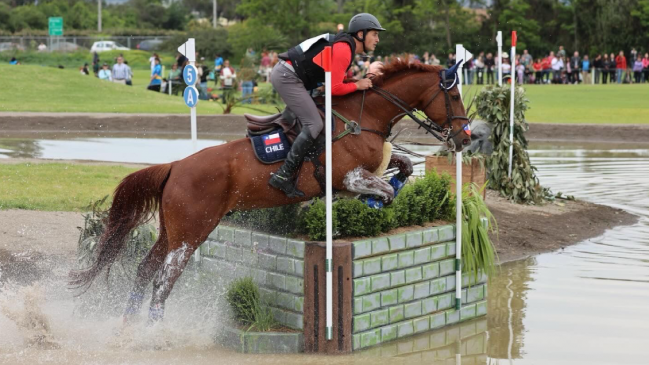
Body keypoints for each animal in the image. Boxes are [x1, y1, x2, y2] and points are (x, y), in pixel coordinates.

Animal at [71, 59, 470, 322]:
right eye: (454, 97)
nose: (465, 138)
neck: (365, 117)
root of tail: (176, 167)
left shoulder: (365, 170)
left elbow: (402, 167)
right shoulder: (348, 177)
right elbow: (385, 188)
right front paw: (373, 202)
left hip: (173, 231)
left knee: (145, 270)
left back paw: (128, 326)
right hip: (191, 233)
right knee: (162, 282)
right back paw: (154, 333)